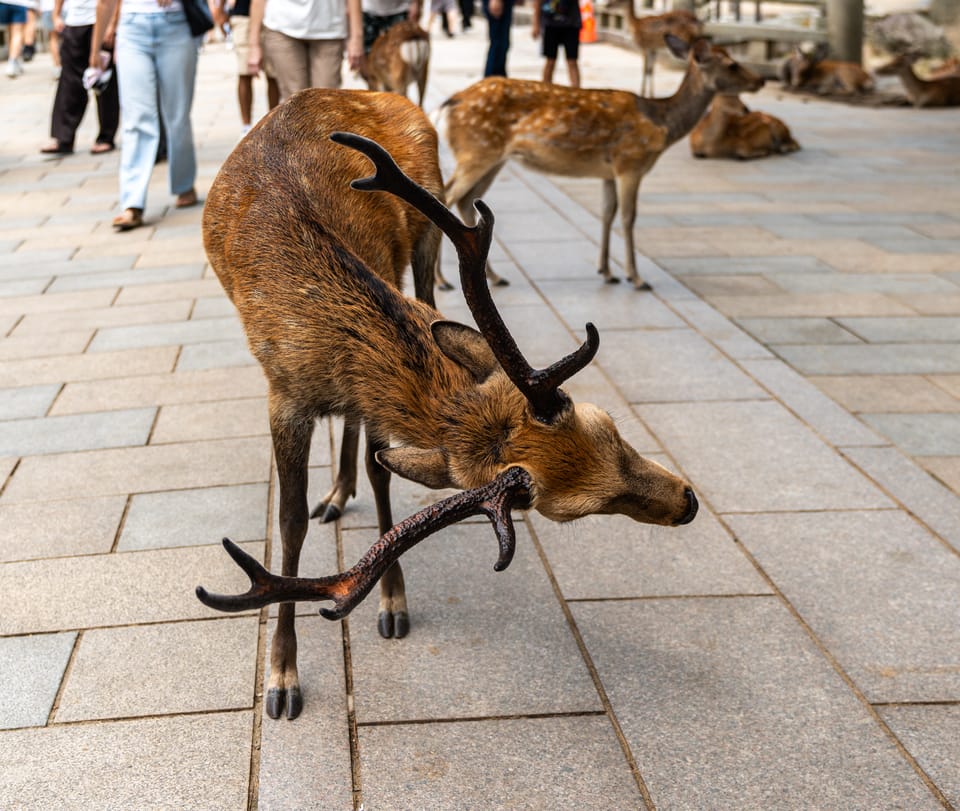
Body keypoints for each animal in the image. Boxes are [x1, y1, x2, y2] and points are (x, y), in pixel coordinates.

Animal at [198, 98, 698, 722]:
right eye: (574, 512)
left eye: (609, 428)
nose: (688, 502)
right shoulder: (282, 395)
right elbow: (289, 523)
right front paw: (282, 679)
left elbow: (381, 472)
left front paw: (392, 600)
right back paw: (334, 495)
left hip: (427, 238)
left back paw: (344, 490)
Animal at [432, 35, 764, 290]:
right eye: (732, 64)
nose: (760, 79)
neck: (662, 124)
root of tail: (449, 103)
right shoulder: (630, 162)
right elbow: (628, 217)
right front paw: (636, 277)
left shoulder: (608, 172)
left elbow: (607, 213)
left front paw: (606, 272)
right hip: (477, 150)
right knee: (447, 196)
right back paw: (442, 280)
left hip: (492, 158)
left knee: (465, 200)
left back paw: (494, 277)